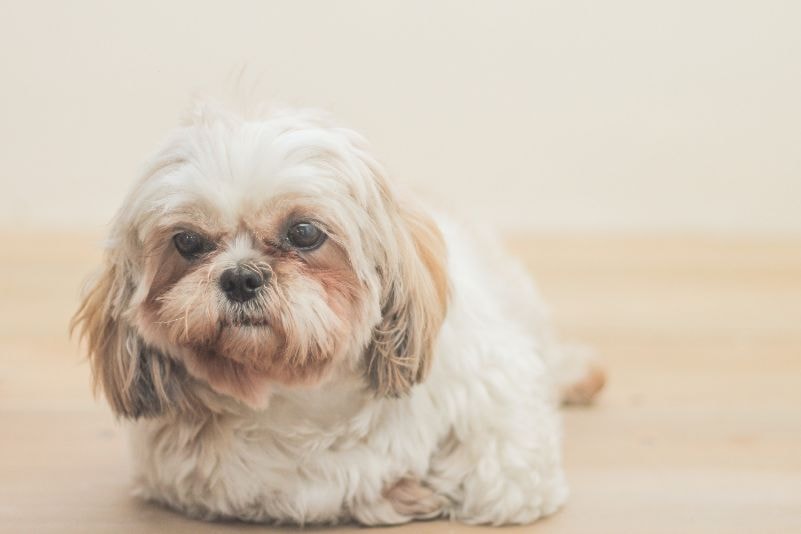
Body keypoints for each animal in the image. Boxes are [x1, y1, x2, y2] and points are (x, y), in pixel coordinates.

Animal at [73, 101, 600, 528]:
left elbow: (500, 484)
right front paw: (397, 493)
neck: (305, 397)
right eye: (187, 242)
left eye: (304, 232)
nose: (241, 277)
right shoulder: (197, 478)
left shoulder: (503, 419)